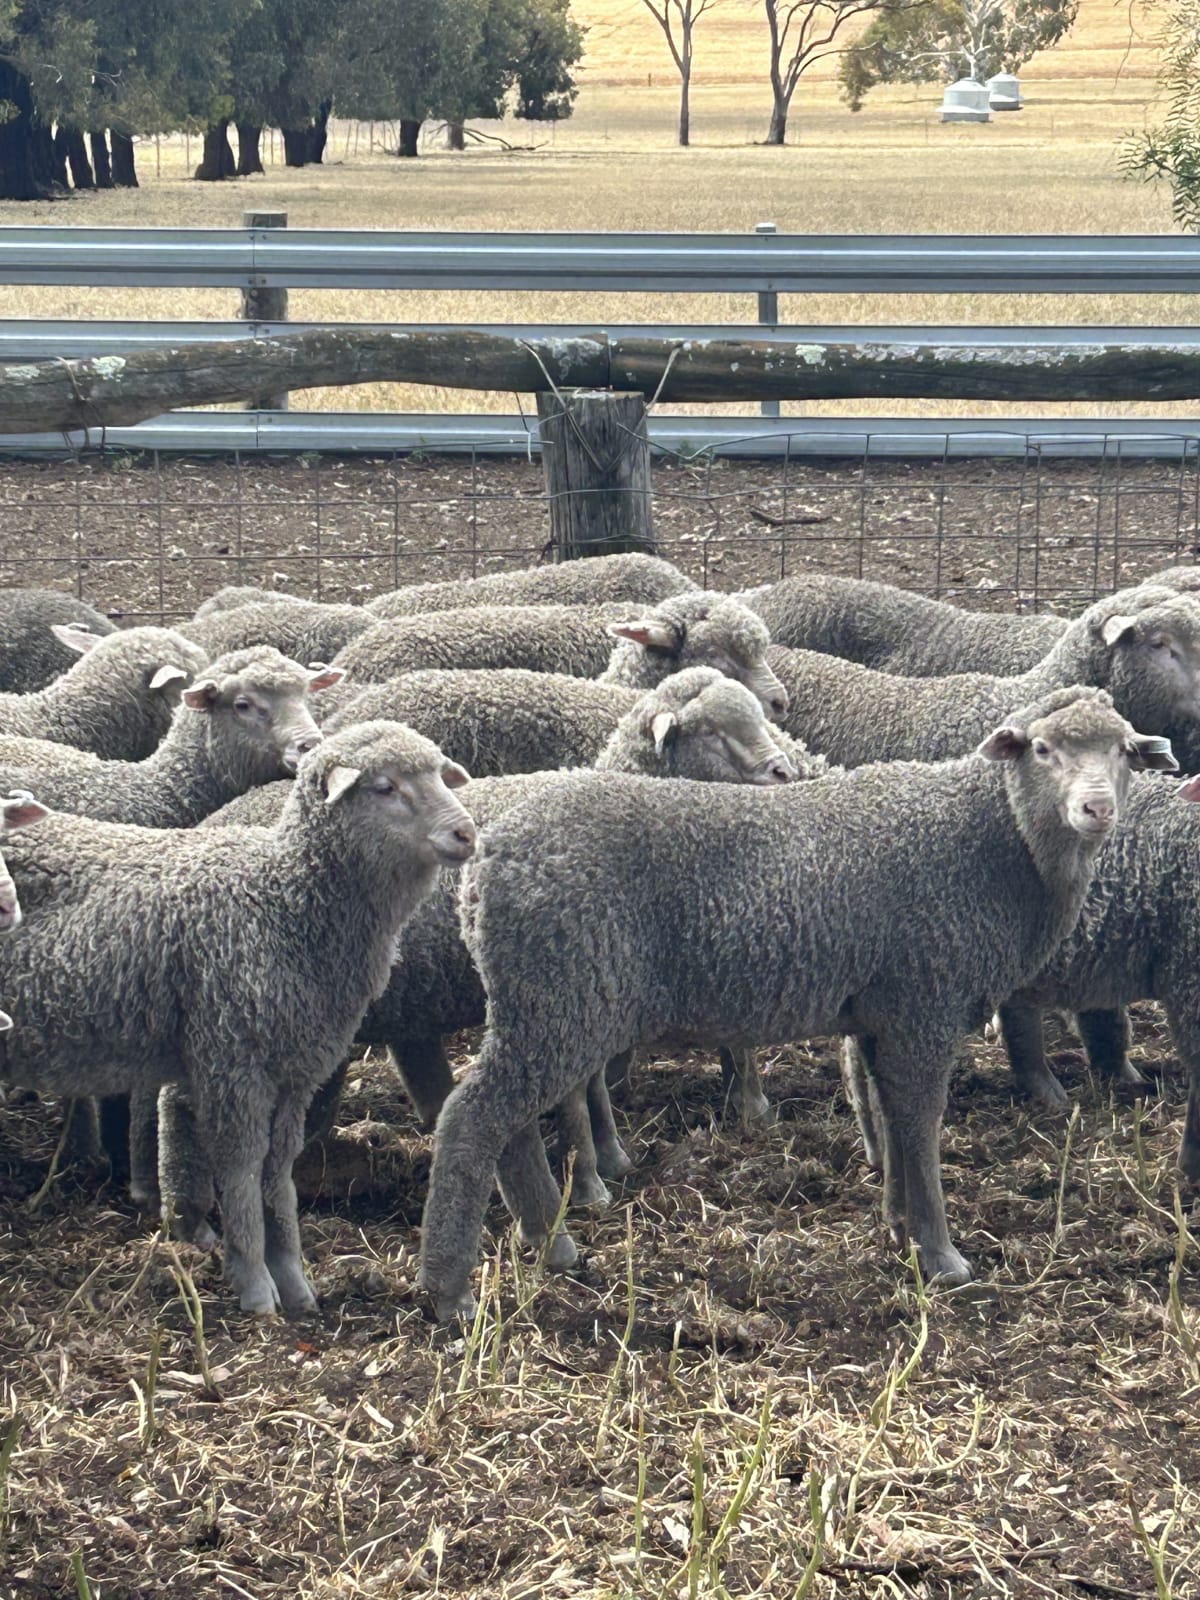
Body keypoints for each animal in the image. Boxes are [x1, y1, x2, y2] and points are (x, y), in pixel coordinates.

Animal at [0, 721, 476, 1316]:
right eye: (385, 787)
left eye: (439, 774)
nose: (466, 833)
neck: (283, 902)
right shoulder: (234, 1060)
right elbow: (242, 1168)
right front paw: (253, 1282)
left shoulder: (294, 1069)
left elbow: (278, 1169)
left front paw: (293, 1280)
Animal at [417, 687, 1174, 1319]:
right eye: (1042, 750)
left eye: (1123, 751)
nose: (1096, 809)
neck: (995, 843)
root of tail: (485, 866)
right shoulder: (925, 1000)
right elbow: (921, 1122)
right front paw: (941, 1255)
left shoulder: (883, 1011)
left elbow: (889, 1114)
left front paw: (900, 1223)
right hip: (562, 994)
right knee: (471, 1117)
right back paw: (449, 1288)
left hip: (537, 1003)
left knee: (508, 1122)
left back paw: (552, 1247)